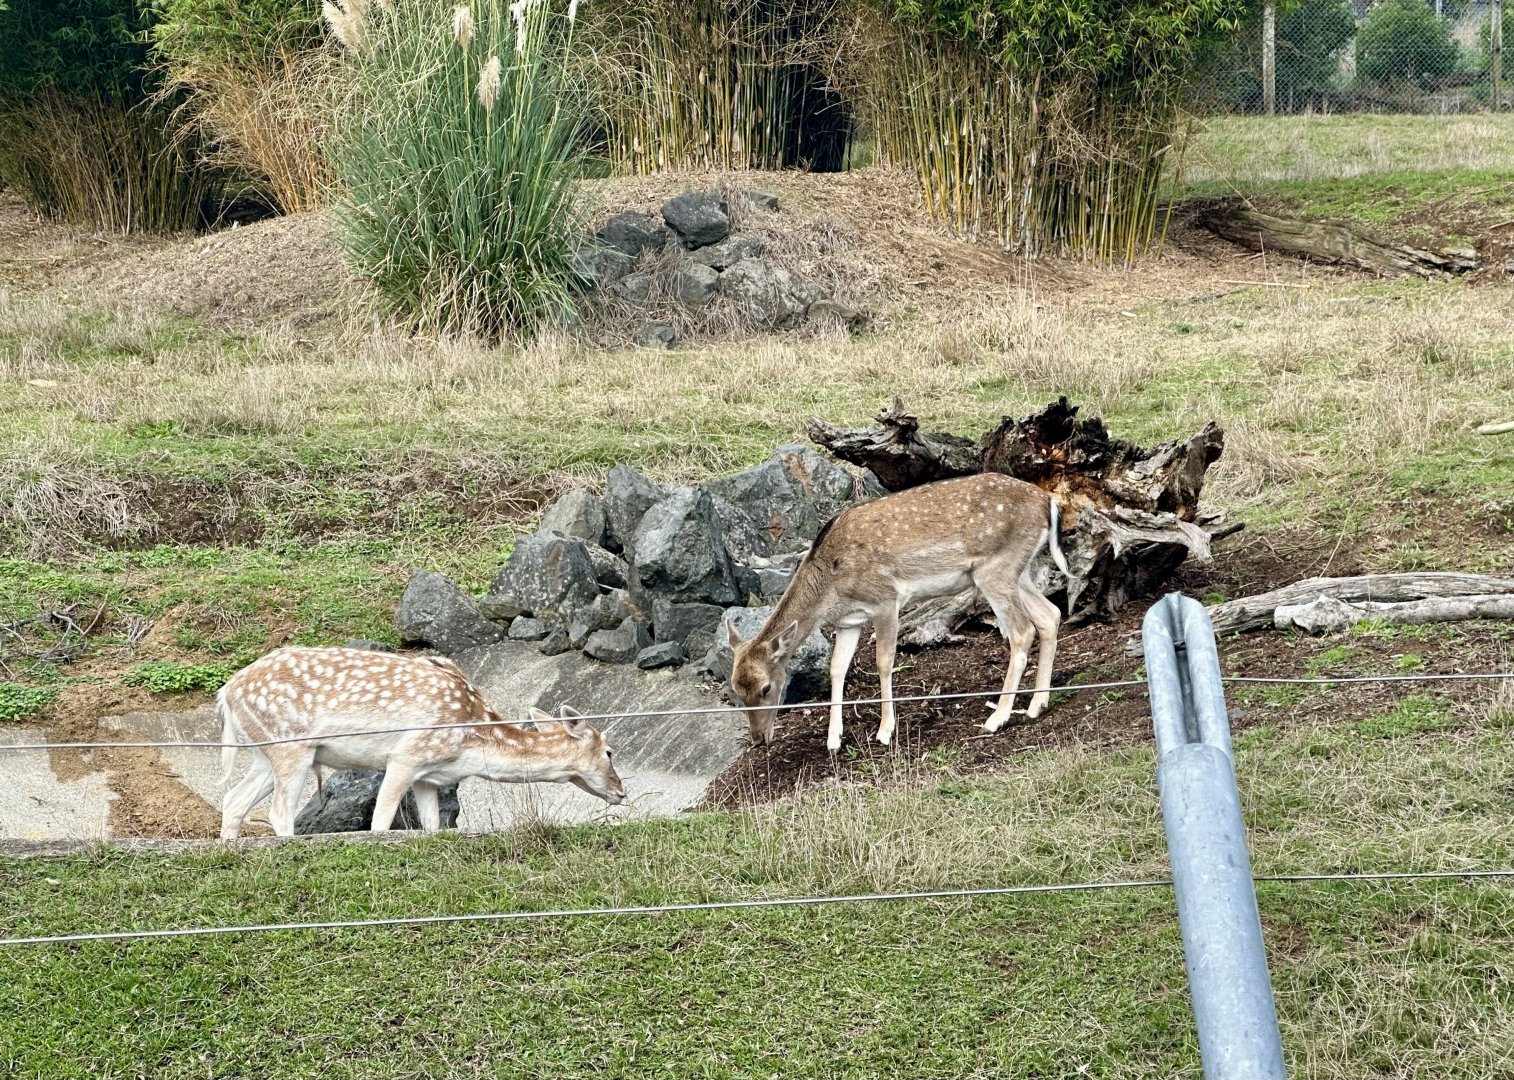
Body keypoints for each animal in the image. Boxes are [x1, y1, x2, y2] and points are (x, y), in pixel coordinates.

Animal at [217, 646, 625, 839]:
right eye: (609, 752)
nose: (621, 791)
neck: (471, 744)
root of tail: (227, 694)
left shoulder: (429, 777)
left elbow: (431, 825)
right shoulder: (406, 756)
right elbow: (380, 824)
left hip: (264, 752)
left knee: (234, 799)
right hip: (291, 745)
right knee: (277, 811)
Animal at [726, 472, 1069, 752]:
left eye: (767, 687)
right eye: (736, 691)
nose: (759, 739)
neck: (831, 588)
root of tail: (1048, 502)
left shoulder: (885, 600)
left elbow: (884, 661)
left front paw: (885, 730)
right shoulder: (849, 621)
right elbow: (837, 668)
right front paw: (834, 739)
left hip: (995, 569)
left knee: (1022, 630)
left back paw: (997, 718)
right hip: (1018, 570)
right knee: (1049, 615)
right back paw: (1037, 704)